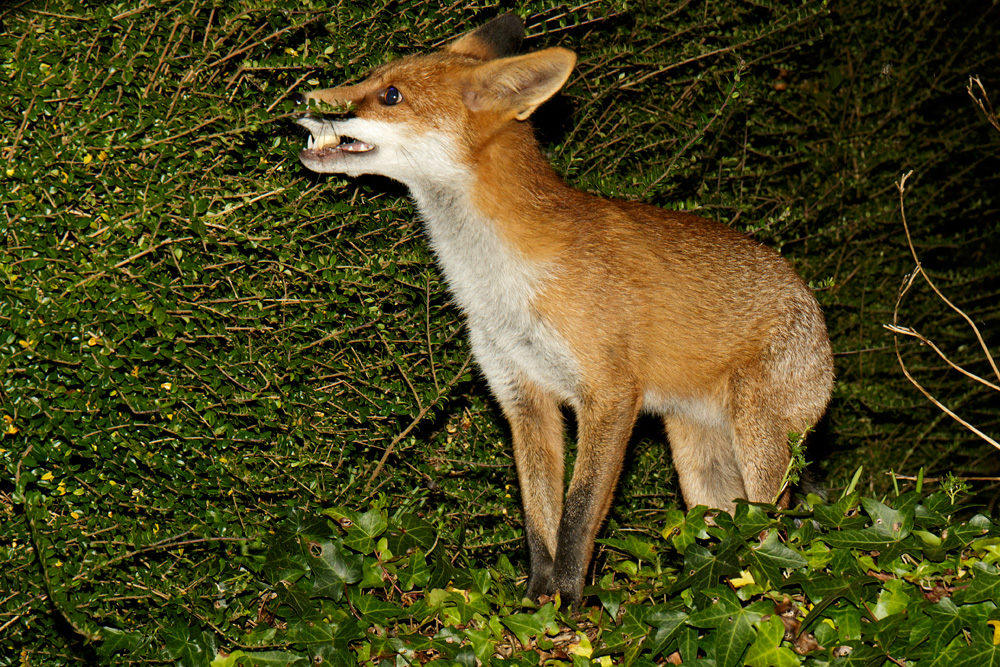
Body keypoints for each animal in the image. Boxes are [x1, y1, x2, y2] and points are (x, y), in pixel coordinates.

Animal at [295, 13, 834, 607]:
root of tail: (810, 300)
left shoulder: (610, 395)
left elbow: (577, 516)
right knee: (726, 532)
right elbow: (539, 521)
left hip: (758, 444)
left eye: (390, 95)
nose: (304, 99)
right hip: (700, 462)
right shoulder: (522, 398)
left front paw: (570, 603)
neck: (497, 284)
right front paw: (535, 602)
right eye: (371, 76)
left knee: (770, 528)